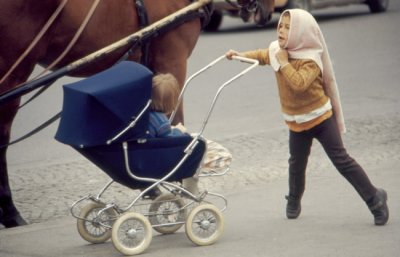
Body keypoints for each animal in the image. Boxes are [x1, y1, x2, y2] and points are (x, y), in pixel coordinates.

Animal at [0, 0, 276, 226]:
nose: (267, 10)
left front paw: (153, 186)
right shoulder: (172, 58)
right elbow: (175, 117)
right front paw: (173, 186)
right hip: (15, 71)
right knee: (3, 139)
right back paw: (11, 212)